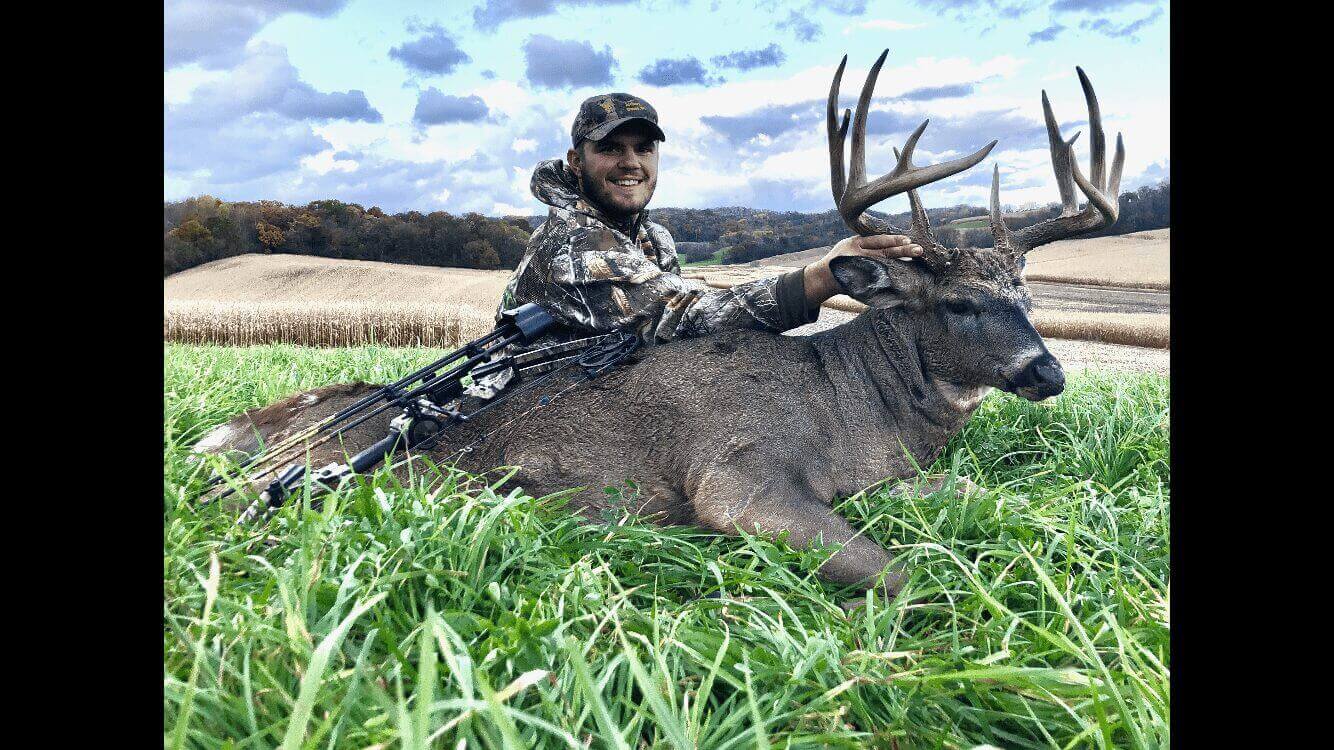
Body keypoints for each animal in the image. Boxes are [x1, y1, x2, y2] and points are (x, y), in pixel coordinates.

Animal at [194, 51, 1124, 603]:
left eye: (1026, 295)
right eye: (959, 303)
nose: (1047, 371)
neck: (851, 412)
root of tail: (230, 439)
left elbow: (974, 493)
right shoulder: (737, 471)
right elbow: (894, 572)